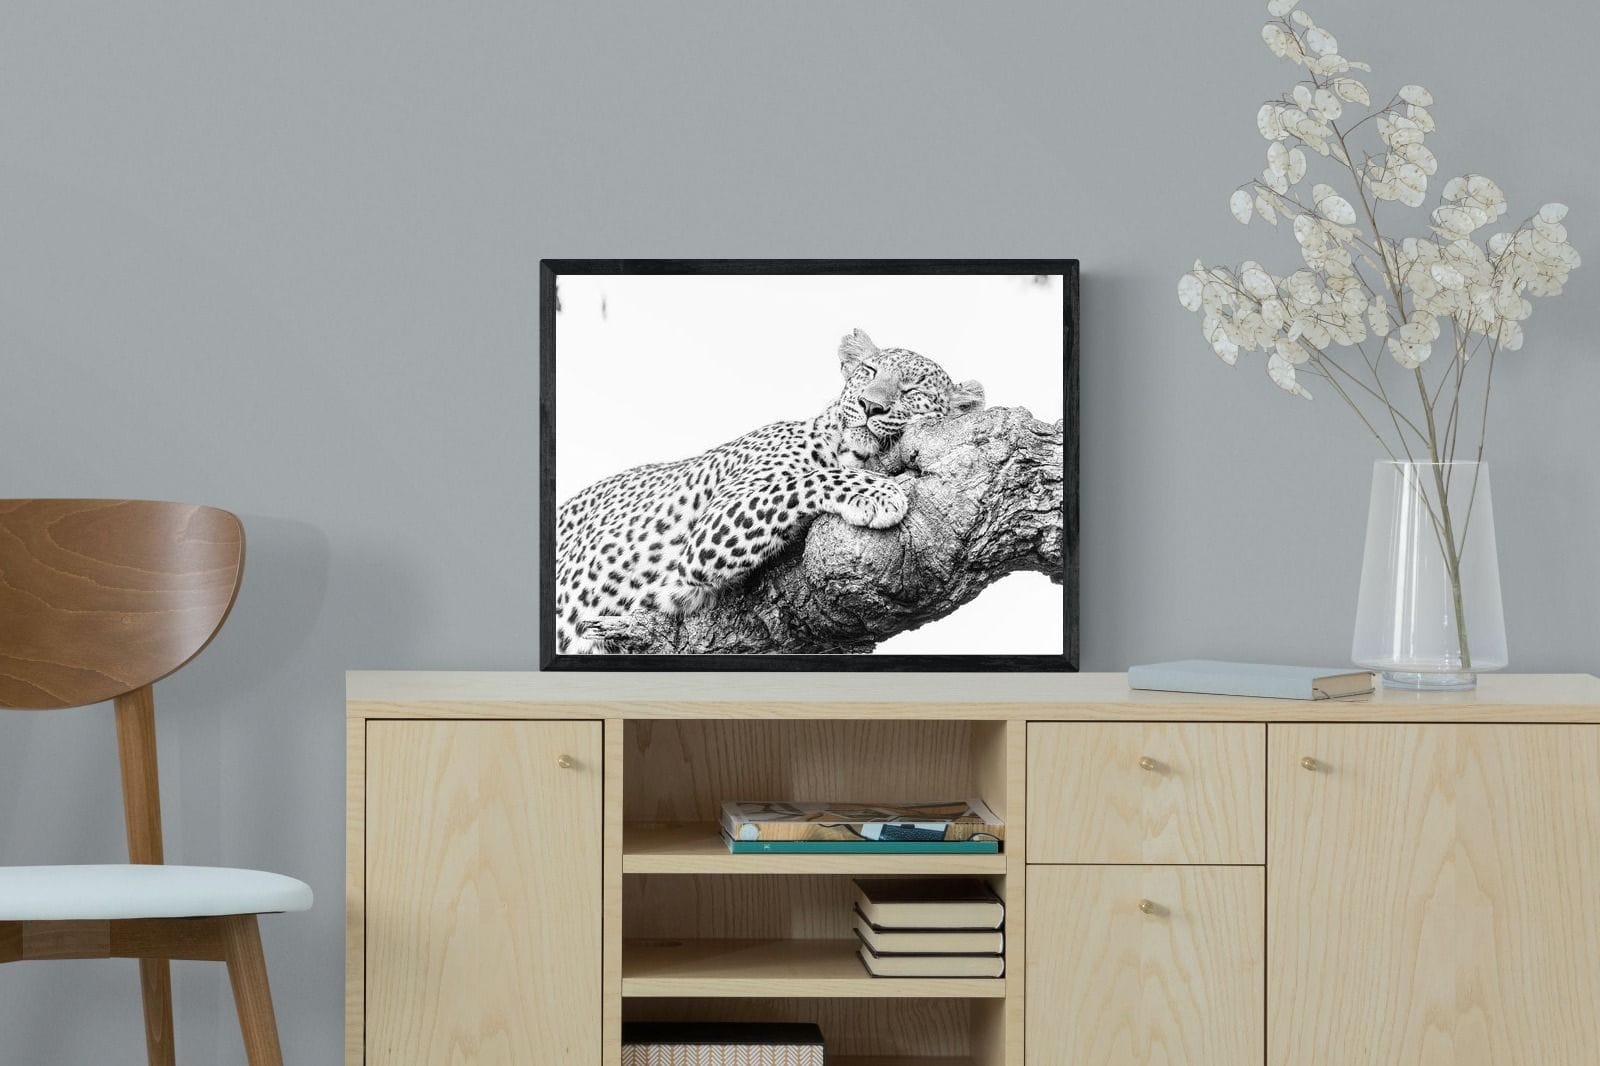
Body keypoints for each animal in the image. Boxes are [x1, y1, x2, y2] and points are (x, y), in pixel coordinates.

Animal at [555, 328, 985, 653]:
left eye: (912, 390)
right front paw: (879, 492)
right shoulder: (709, 531)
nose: (869, 405)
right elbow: (804, 480)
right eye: (869, 370)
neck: (847, 448)